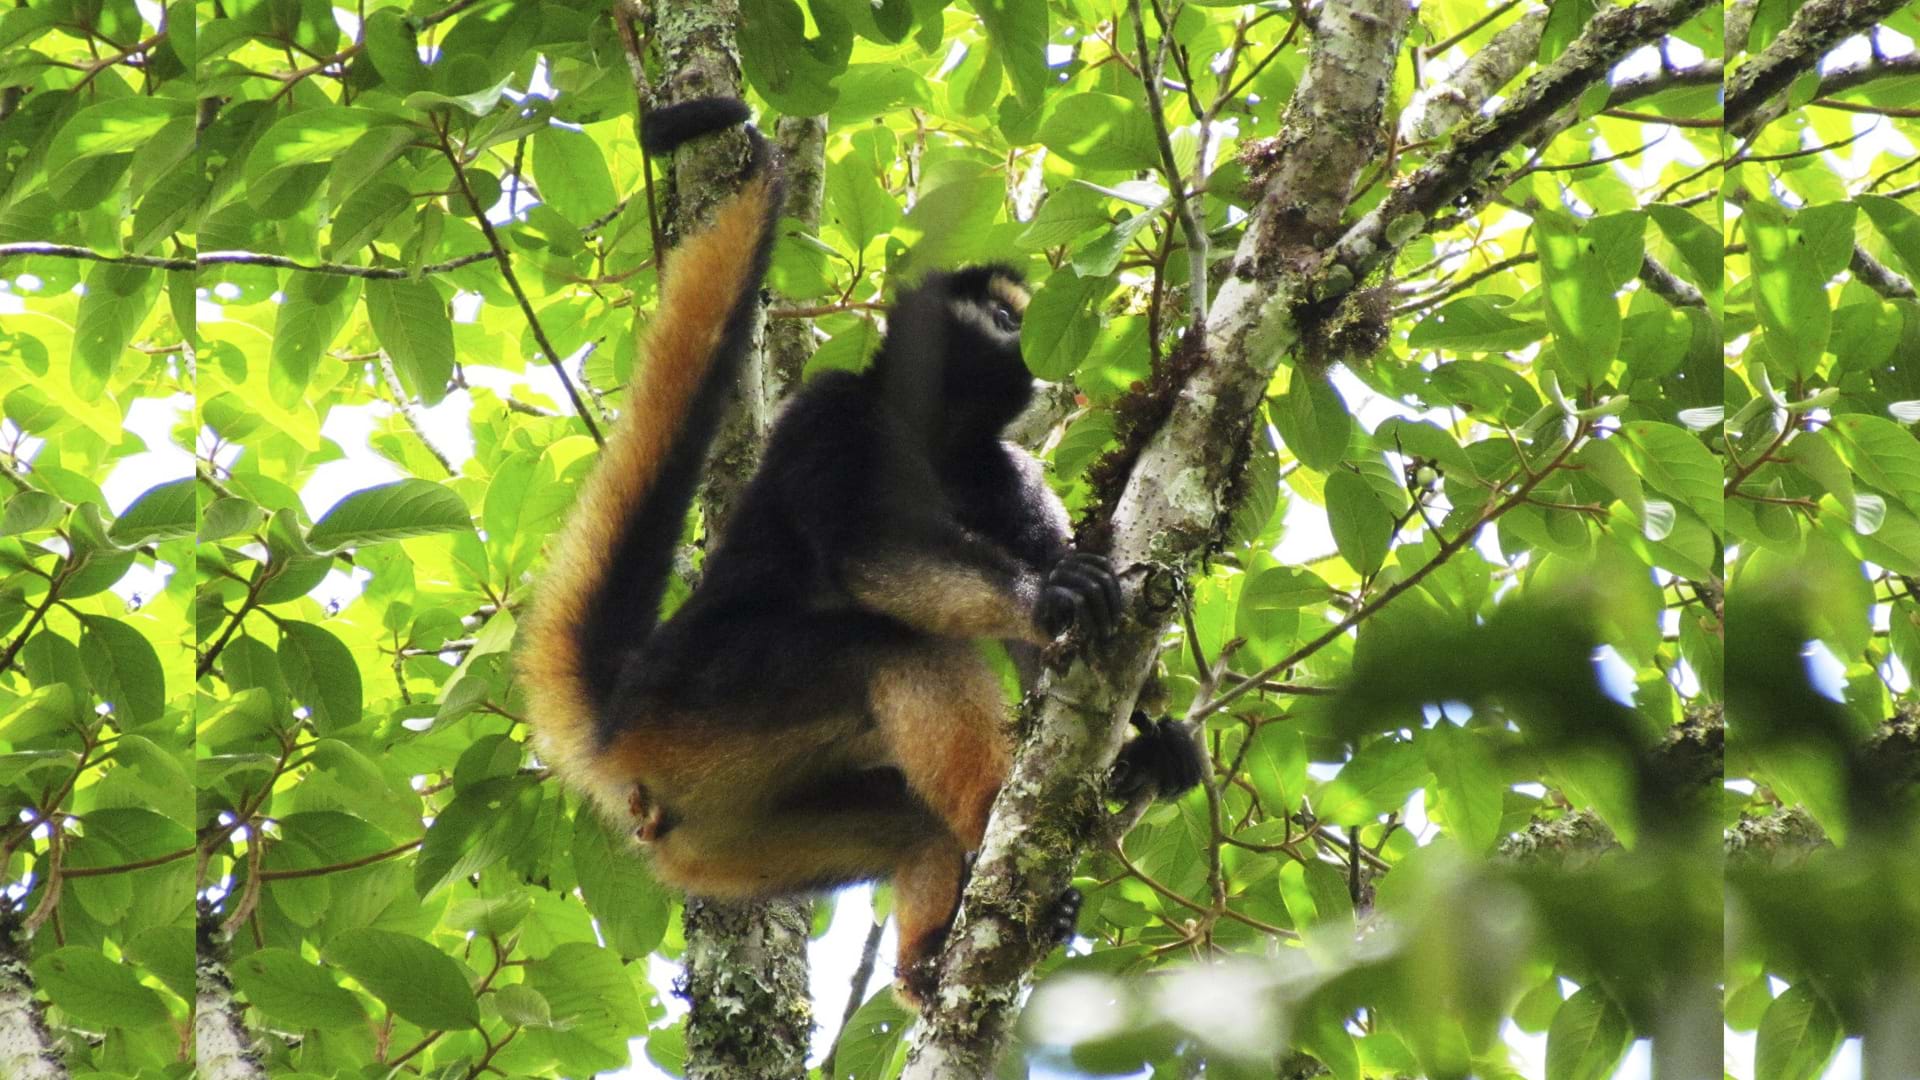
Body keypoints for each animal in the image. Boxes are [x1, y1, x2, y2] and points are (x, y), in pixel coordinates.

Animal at [518, 98, 1205, 1006]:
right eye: (1004, 316)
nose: (1027, 340)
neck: (931, 439)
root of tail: (621, 712)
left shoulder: (998, 466)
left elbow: (1046, 659)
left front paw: (1146, 748)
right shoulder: (831, 408)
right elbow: (867, 554)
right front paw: (1047, 594)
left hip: (723, 830)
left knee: (910, 817)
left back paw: (929, 954)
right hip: (706, 703)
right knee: (889, 645)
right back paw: (991, 818)